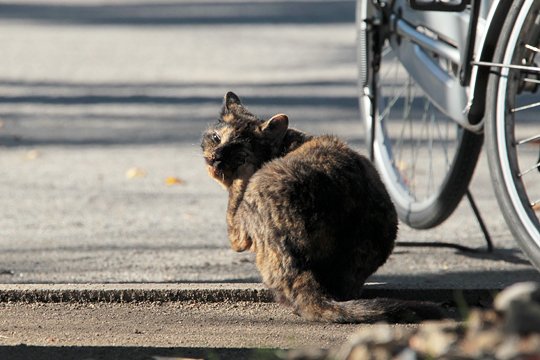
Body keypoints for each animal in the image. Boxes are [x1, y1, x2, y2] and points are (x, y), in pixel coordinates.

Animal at [200, 93, 440, 324]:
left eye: (239, 151)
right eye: (216, 138)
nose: (215, 158)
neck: (287, 143)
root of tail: (299, 259)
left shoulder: (237, 230)